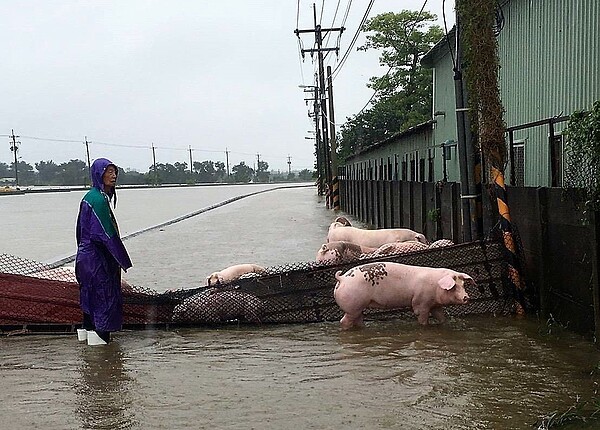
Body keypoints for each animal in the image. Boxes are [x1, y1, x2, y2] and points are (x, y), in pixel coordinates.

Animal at [332, 260, 474, 328]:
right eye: (454, 286)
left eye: (463, 285)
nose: (466, 297)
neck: (435, 286)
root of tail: (342, 278)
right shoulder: (420, 303)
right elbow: (421, 317)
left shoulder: (435, 305)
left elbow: (441, 317)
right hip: (352, 305)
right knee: (344, 321)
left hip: (358, 307)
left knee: (358, 320)